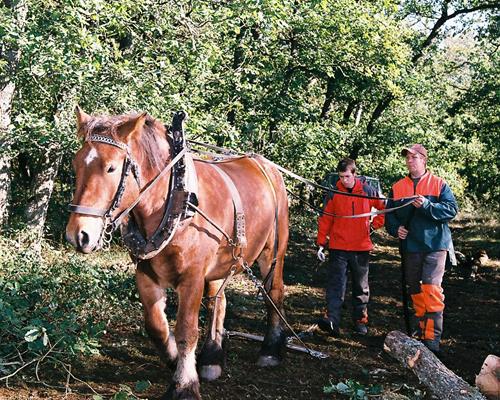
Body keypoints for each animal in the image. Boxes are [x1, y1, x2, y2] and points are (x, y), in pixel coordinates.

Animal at [65, 108, 290, 398]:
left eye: (111, 168)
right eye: (76, 164)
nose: (78, 234)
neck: (175, 200)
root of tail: (265, 165)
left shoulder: (192, 277)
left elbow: (186, 329)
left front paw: (184, 383)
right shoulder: (146, 274)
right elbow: (156, 326)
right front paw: (176, 359)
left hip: (273, 252)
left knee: (273, 292)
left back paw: (271, 349)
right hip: (223, 261)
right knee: (218, 300)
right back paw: (211, 356)